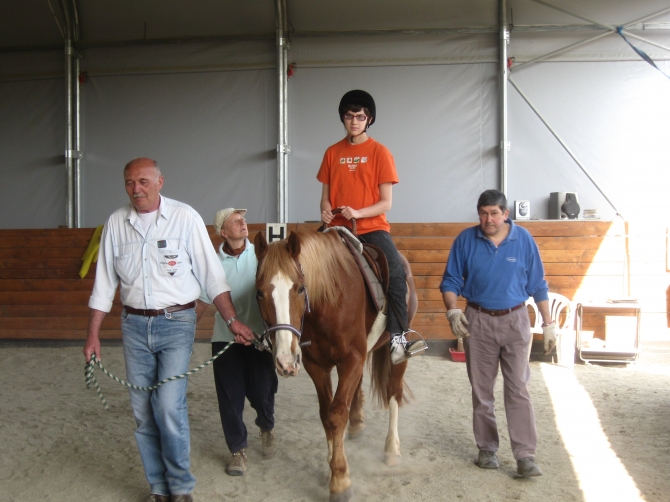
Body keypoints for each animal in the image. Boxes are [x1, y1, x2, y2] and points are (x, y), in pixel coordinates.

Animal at [255, 231, 418, 502]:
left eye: (300, 288)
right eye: (259, 293)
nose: (285, 360)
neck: (328, 300)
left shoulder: (351, 359)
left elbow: (336, 414)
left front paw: (340, 480)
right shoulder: (316, 365)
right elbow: (326, 414)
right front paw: (333, 465)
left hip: (395, 353)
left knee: (393, 392)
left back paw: (391, 449)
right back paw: (357, 424)